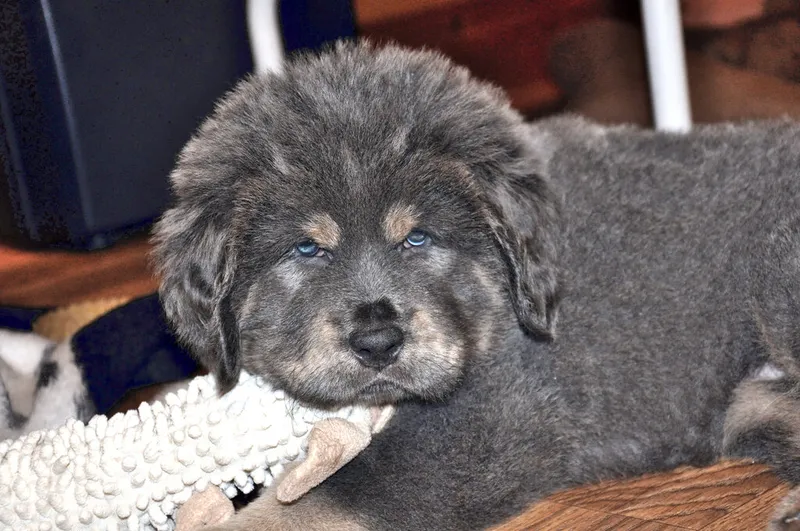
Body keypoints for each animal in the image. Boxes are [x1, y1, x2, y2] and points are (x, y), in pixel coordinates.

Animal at [153, 42, 800, 530]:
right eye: (307, 249)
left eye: (417, 238)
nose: (379, 342)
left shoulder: (487, 420)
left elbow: (319, 500)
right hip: (746, 401)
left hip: (776, 277)